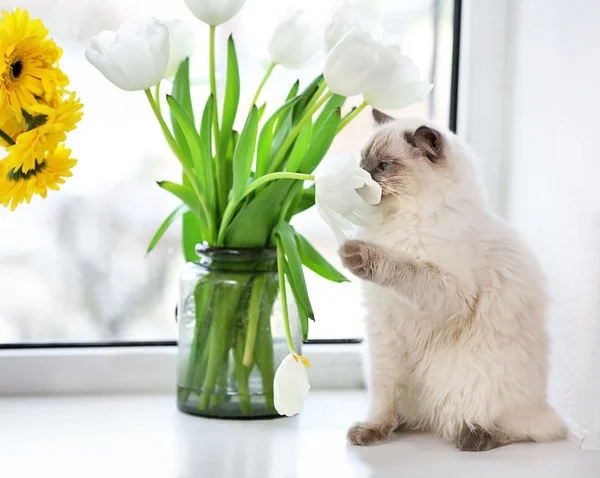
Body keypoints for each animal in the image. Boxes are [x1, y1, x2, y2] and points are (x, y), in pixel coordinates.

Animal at [342, 110, 568, 450]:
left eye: (383, 166)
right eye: (362, 162)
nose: (359, 181)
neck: (399, 222)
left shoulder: (450, 294)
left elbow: (404, 268)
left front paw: (355, 254)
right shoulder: (384, 331)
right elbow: (383, 397)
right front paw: (373, 431)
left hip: (482, 381)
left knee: (522, 429)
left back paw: (474, 437)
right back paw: (403, 423)